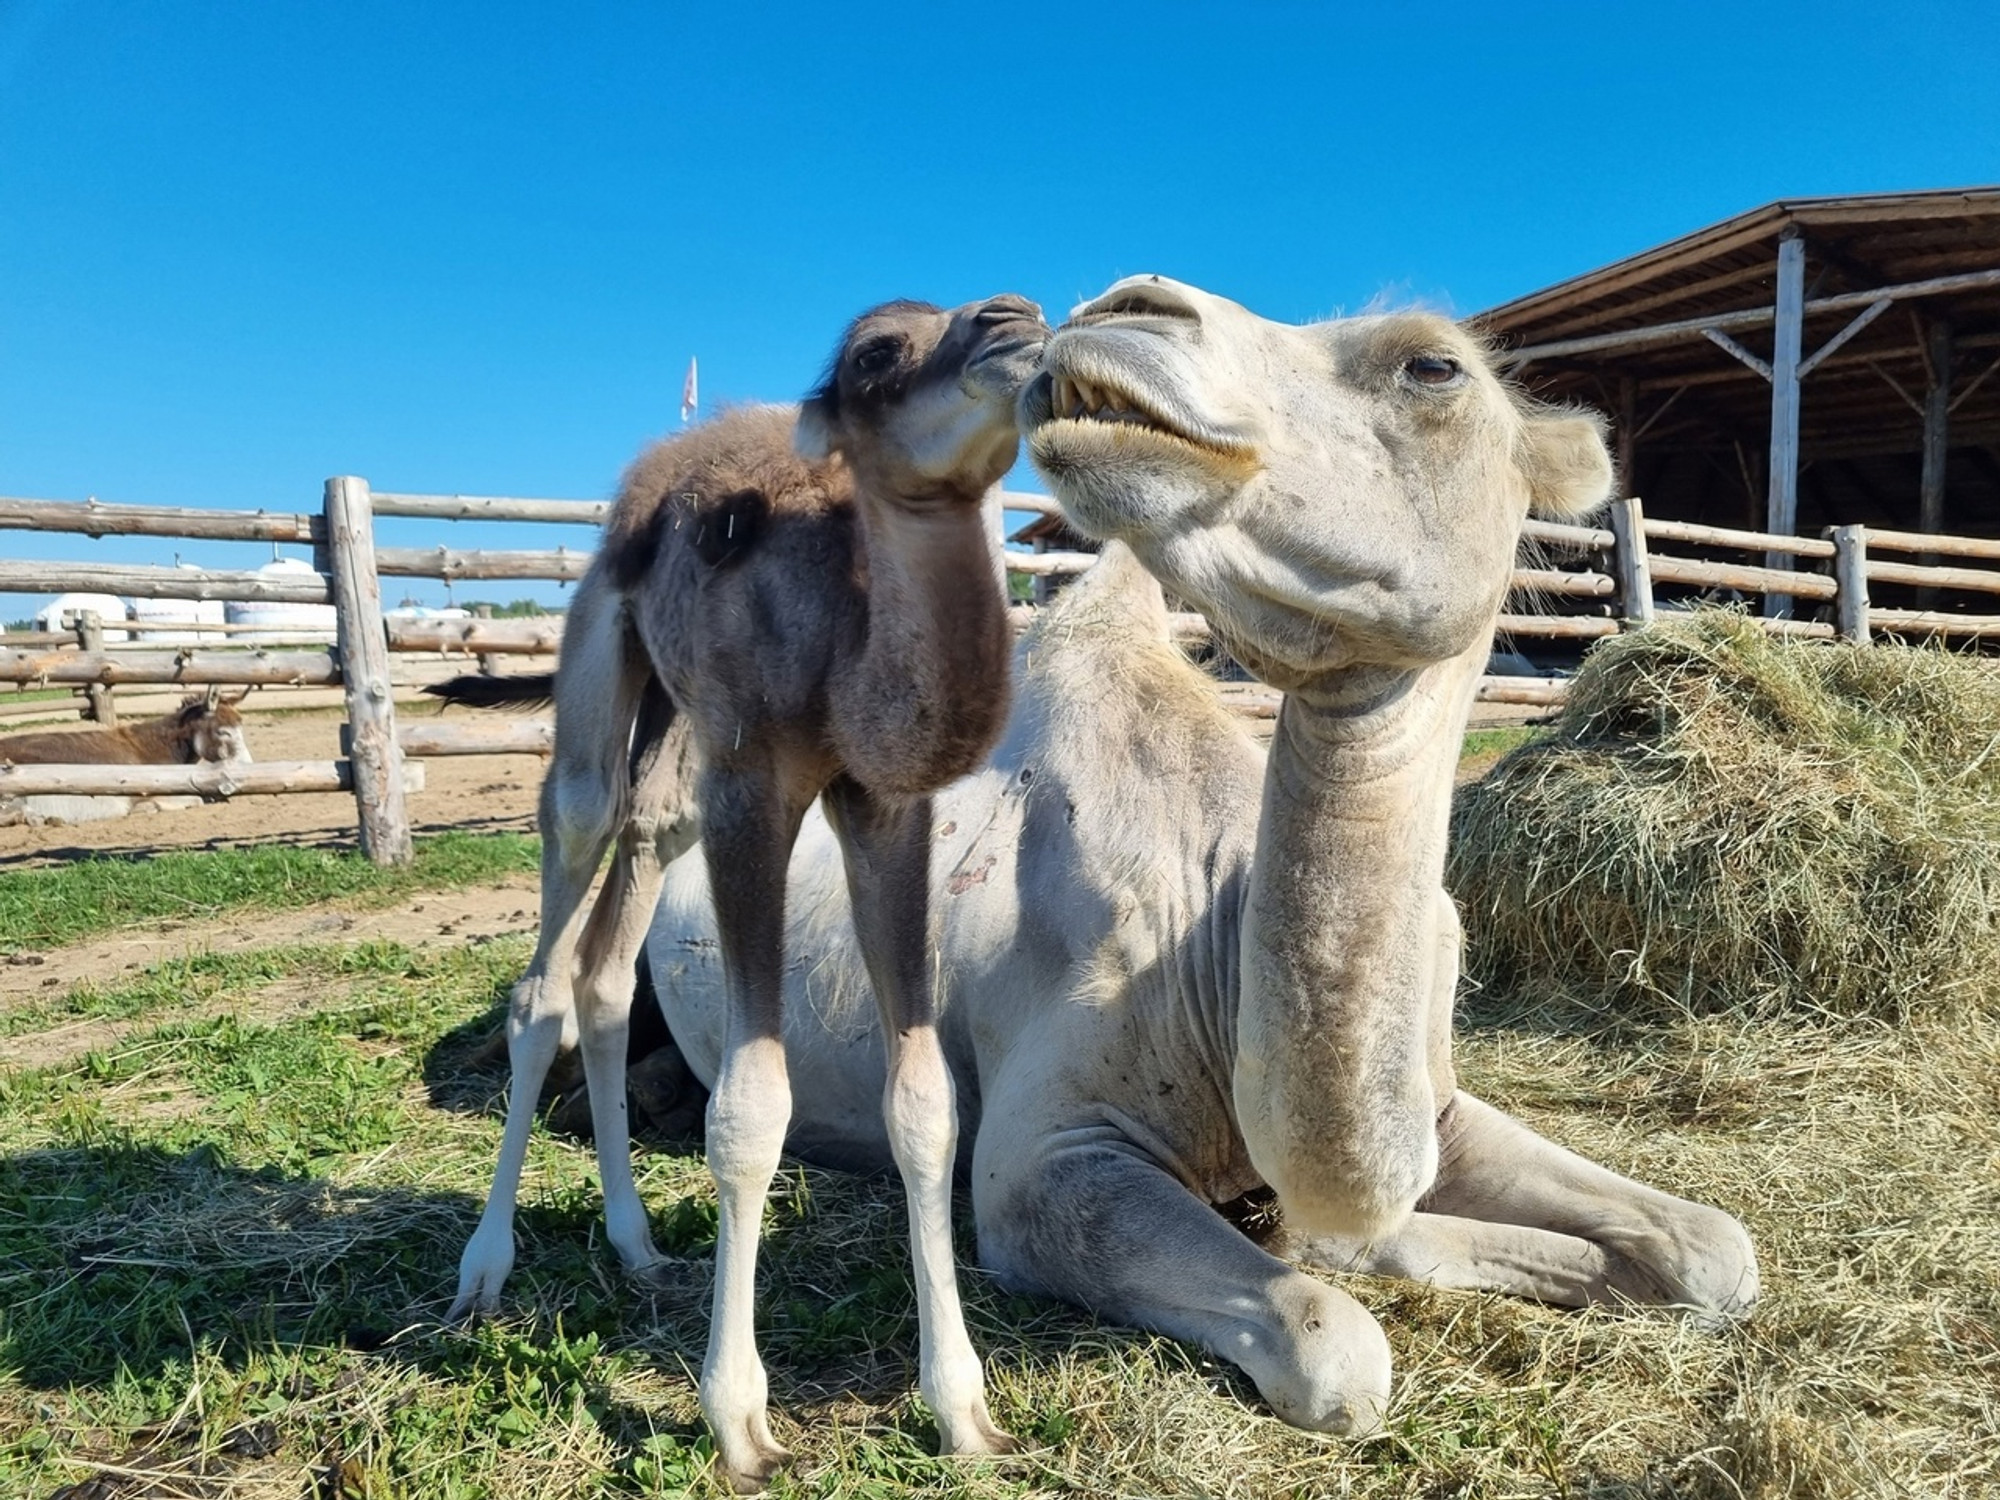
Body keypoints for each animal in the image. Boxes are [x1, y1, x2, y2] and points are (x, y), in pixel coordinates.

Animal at [644, 276, 1768, 1440]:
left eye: (1431, 367)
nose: (1121, 309)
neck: (1214, 939)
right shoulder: (1040, 1163)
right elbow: (1336, 1345)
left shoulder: (1441, 1102)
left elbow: (1715, 1251)